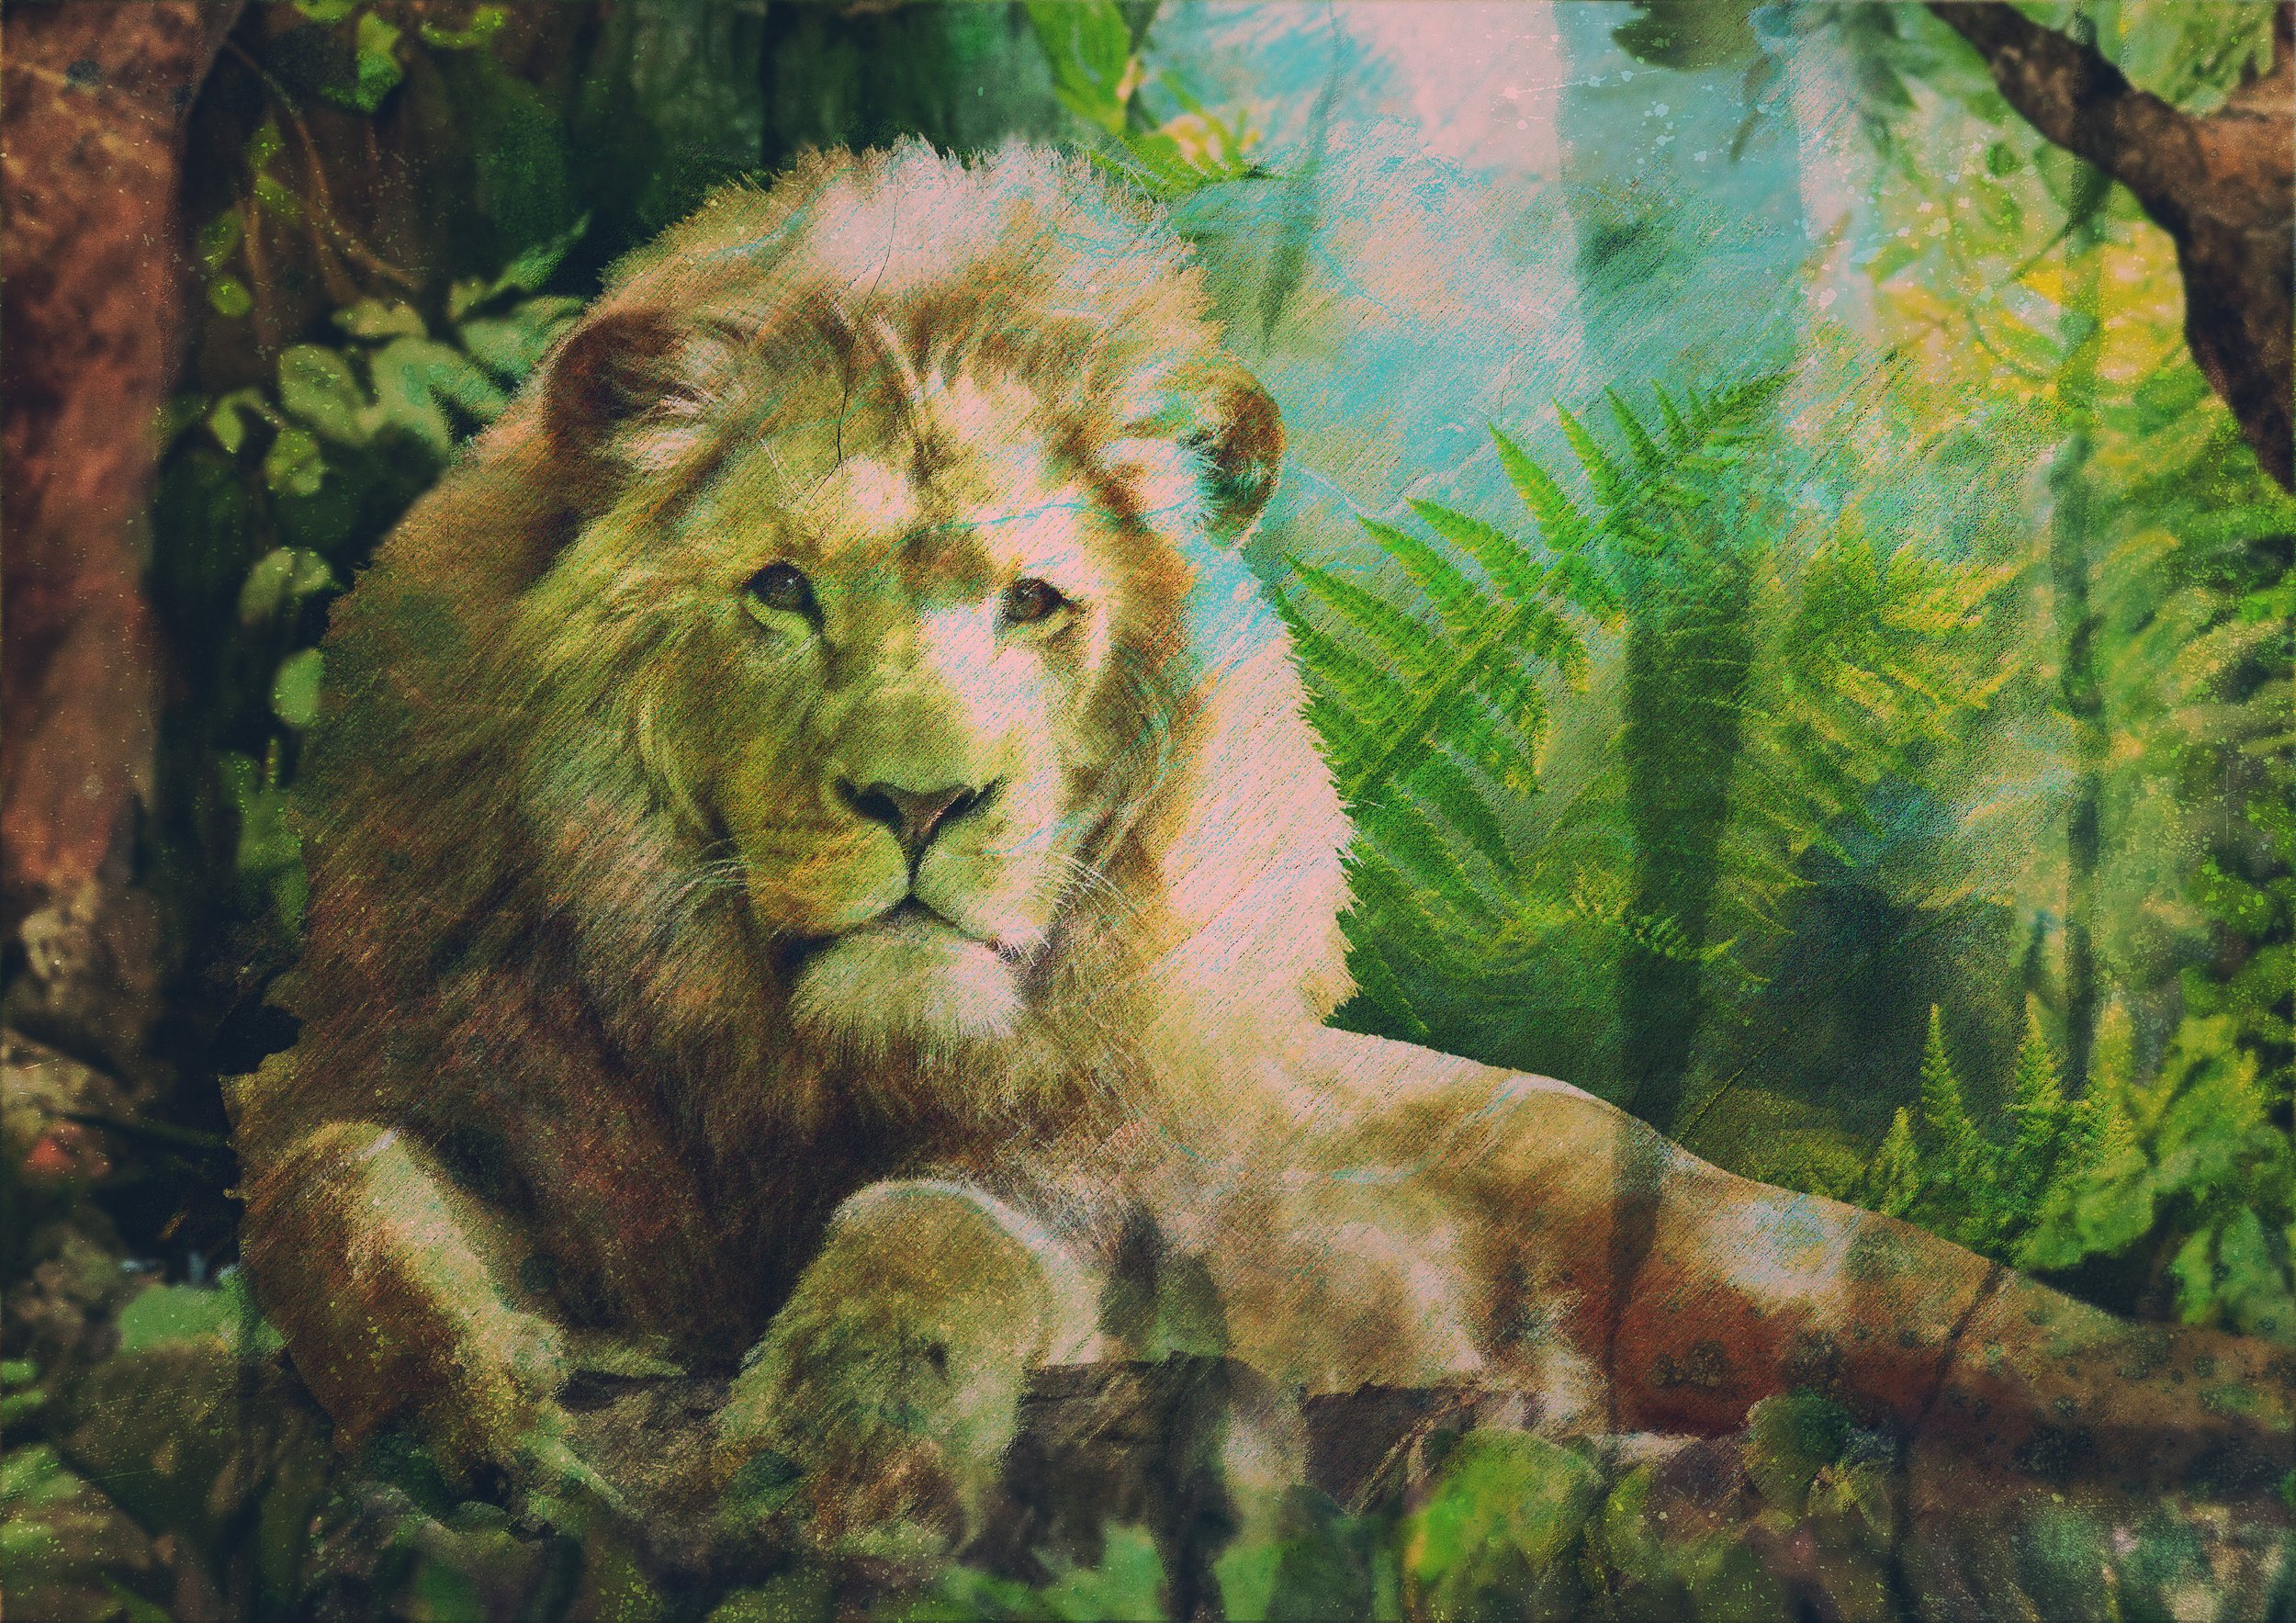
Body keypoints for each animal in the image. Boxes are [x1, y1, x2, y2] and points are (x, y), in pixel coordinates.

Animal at [230, 142, 2291, 1559]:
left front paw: (851, 1429)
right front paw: (463, 1397)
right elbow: (329, 1190)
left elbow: (942, 1223)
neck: (796, 1063)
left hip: (1795, 1268)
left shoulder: (1117, 1193)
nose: (922, 803)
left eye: (1034, 605)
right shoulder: (431, 1086)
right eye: (785, 591)